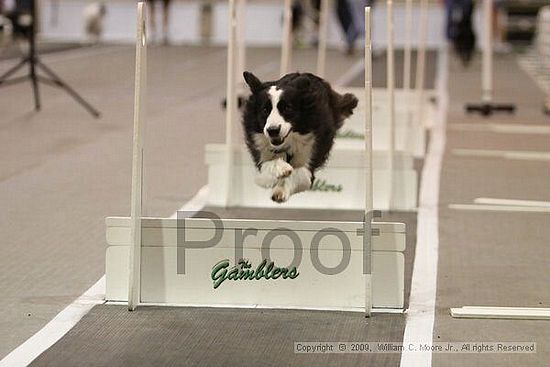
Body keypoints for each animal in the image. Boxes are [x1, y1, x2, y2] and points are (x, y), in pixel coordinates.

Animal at [242, 71, 358, 204]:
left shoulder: (309, 157)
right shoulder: (261, 156)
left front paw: (280, 190)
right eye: (265, 109)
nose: (273, 131)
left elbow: (298, 172)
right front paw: (282, 168)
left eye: (287, 108)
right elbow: (268, 167)